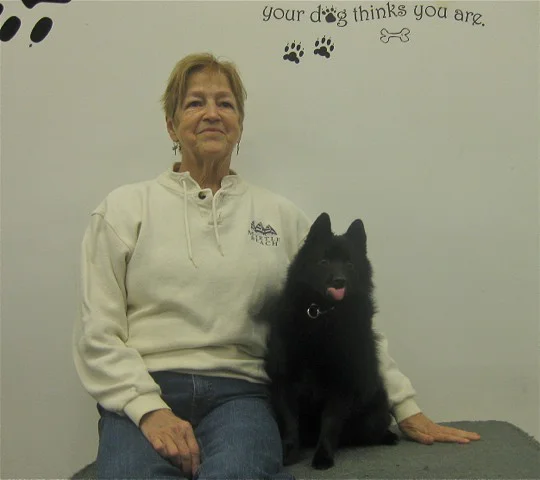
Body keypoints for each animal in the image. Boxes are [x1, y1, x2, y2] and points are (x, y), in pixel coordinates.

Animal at [258, 212, 398, 470]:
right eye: (323, 262)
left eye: (350, 264)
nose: (339, 281)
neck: (321, 314)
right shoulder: (284, 380)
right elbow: (290, 422)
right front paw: (289, 451)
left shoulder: (342, 384)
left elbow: (331, 423)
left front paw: (323, 455)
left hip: (375, 411)